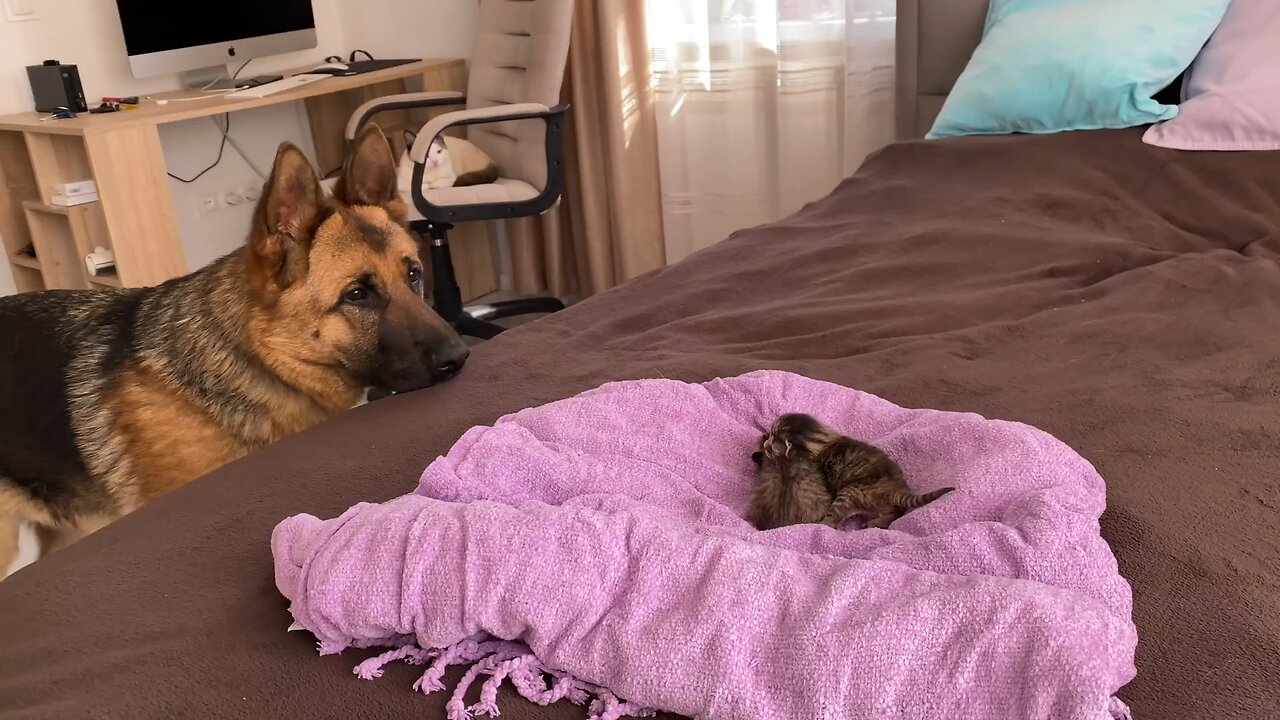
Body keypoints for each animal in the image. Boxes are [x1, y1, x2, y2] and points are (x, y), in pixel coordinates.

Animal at [747, 412, 952, 530]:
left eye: (772, 443)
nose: (765, 444)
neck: (819, 440)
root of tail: (895, 489)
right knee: (894, 513)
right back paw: (875, 523)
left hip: (847, 494)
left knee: (830, 523)